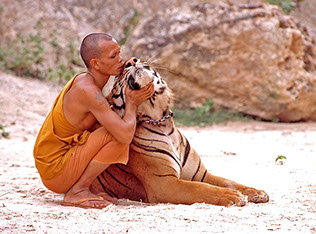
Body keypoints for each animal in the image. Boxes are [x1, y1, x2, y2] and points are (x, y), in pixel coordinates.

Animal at [90, 57, 270, 207]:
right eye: (118, 77)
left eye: (135, 59)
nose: (131, 61)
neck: (161, 121)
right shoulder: (164, 183)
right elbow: (201, 188)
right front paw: (232, 196)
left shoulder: (201, 174)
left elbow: (229, 181)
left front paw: (257, 192)